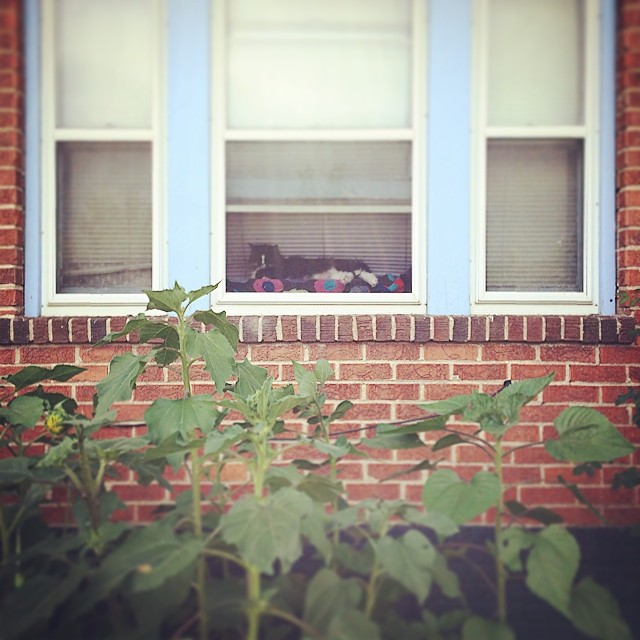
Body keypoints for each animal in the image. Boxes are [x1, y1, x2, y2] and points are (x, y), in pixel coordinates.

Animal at [248, 242, 378, 288]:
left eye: (268, 260)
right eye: (257, 259)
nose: (262, 264)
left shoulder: (280, 271)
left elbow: (262, 274)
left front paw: (261, 275)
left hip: (340, 268)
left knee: (357, 271)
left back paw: (372, 281)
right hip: (336, 274)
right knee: (356, 273)